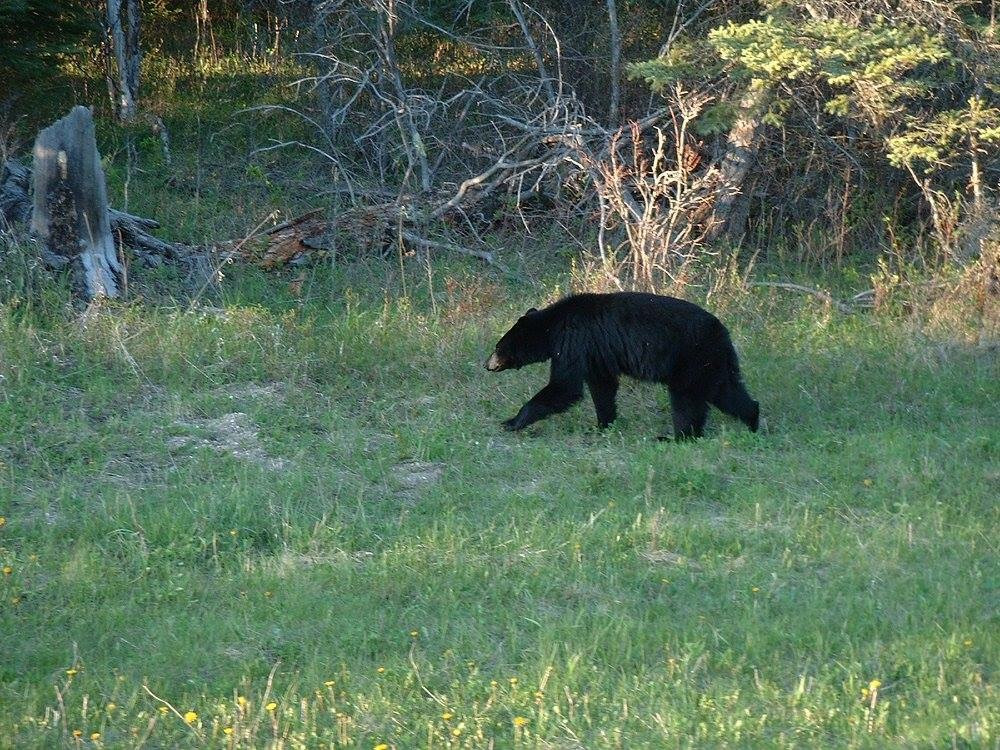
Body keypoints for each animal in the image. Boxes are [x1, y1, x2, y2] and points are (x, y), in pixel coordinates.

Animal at [485, 292, 759, 440]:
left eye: (498, 347)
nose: (487, 365)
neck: (552, 326)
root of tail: (723, 332)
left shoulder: (574, 339)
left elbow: (565, 386)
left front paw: (512, 421)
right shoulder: (595, 353)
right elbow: (602, 386)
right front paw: (602, 424)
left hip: (691, 358)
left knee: (686, 398)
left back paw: (676, 437)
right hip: (712, 362)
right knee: (727, 392)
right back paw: (753, 420)